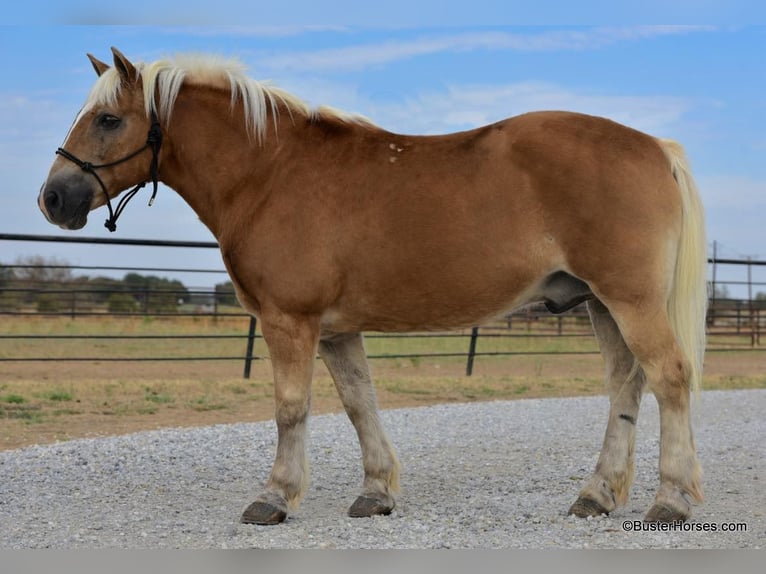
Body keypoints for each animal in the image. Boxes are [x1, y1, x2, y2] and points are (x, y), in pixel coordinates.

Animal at [37, 48, 708, 528]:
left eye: (109, 119)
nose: (53, 199)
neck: (269, 174)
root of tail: (655, 147)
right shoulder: (337, 331)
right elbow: (361, 403)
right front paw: (376, 493)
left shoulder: (290, 320)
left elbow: (290, 408)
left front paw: (275, 497)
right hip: (601, 303)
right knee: (625, 386)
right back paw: (597, 495)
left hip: (630, 301)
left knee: (670, 377)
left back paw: (671, 501)